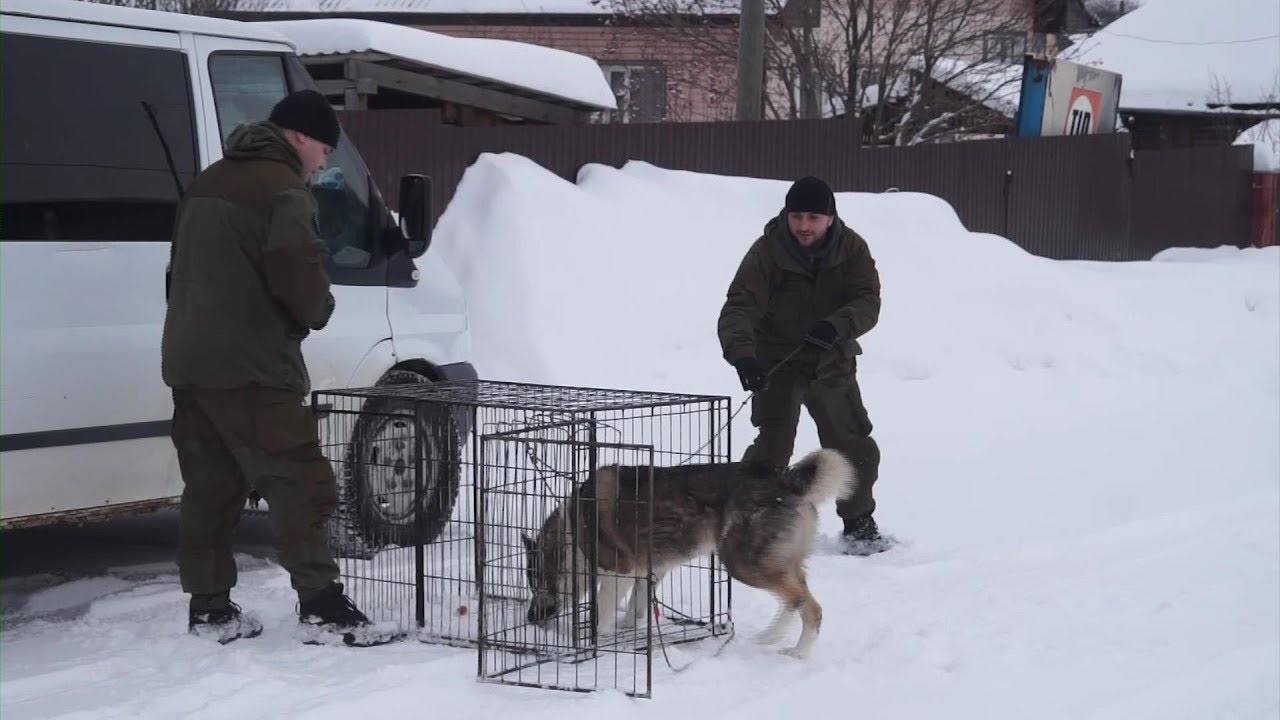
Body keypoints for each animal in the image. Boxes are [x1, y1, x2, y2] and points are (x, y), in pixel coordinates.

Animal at [519, 448, 860, 655]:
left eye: (537, 584)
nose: (530, 618)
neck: (573, 531)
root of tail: (788, 482)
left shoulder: (619, 572)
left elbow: (602, 614)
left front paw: (593, 641)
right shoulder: (648, 572)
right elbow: (636, 609)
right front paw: (629, 630)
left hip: (742, 562)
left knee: (804, 603)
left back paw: (789, 648)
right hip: (776, 560)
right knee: (800, 601)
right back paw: (778, 641)